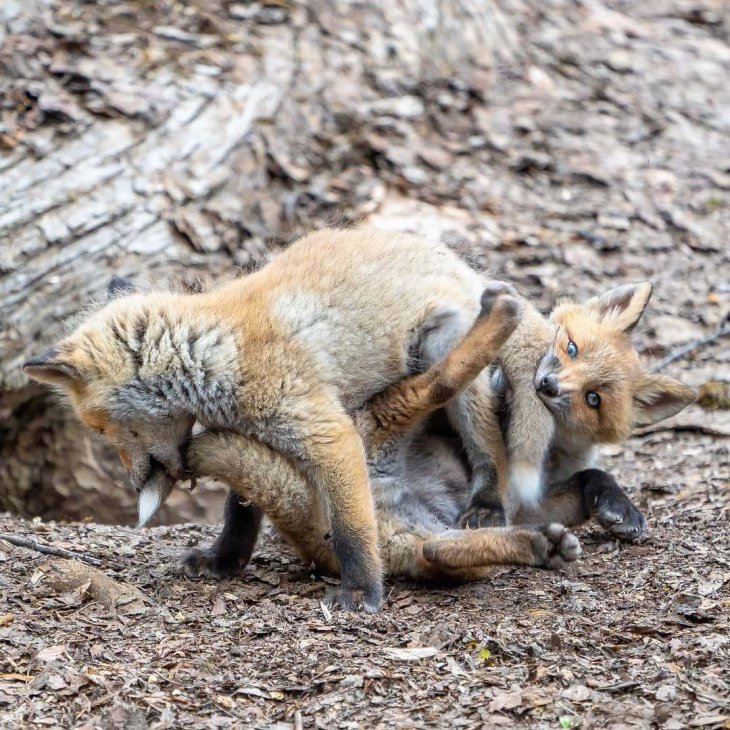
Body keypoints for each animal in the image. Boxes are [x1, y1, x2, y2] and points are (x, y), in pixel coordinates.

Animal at [24, 228, 692, 608]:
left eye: (101, 429)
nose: (132, 482)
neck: (219, 351)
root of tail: (454, 258)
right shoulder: (258, 438)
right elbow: (240, 515)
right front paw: (222, 563)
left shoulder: (327, 432)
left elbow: (349, 528)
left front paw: (362, 593)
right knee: (441, 547)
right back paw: (531, 542)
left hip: (440, 358)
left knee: (483, 440)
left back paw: (486, 488)